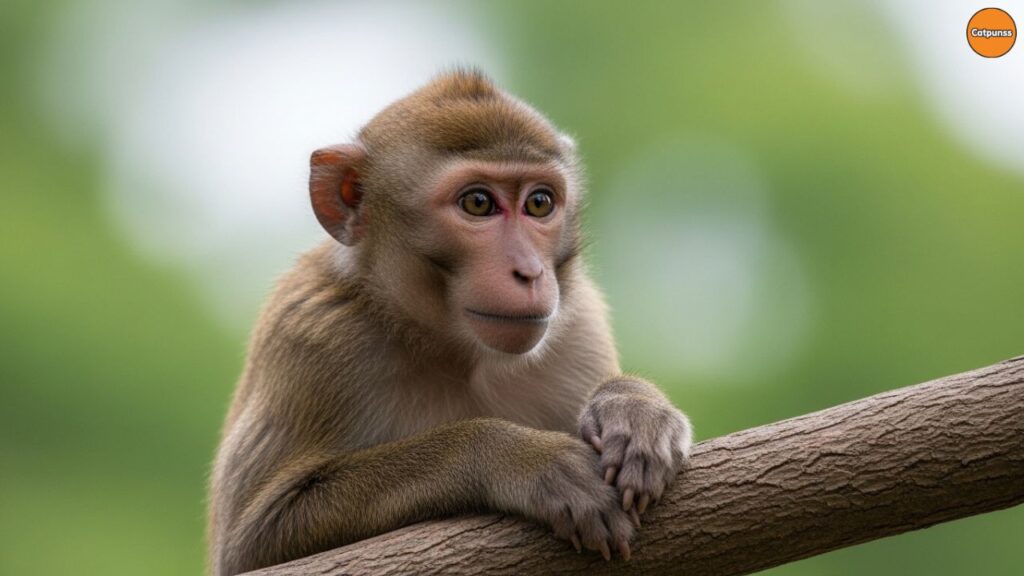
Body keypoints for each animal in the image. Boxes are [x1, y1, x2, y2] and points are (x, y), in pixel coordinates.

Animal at [208, 69, 692, 576]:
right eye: (478, 203)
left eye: (540, 203)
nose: (530, 272)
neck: (456, 352)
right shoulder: (312, 335)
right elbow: (254, 540)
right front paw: (520, 457)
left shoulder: (579, 327)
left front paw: (633, 407)